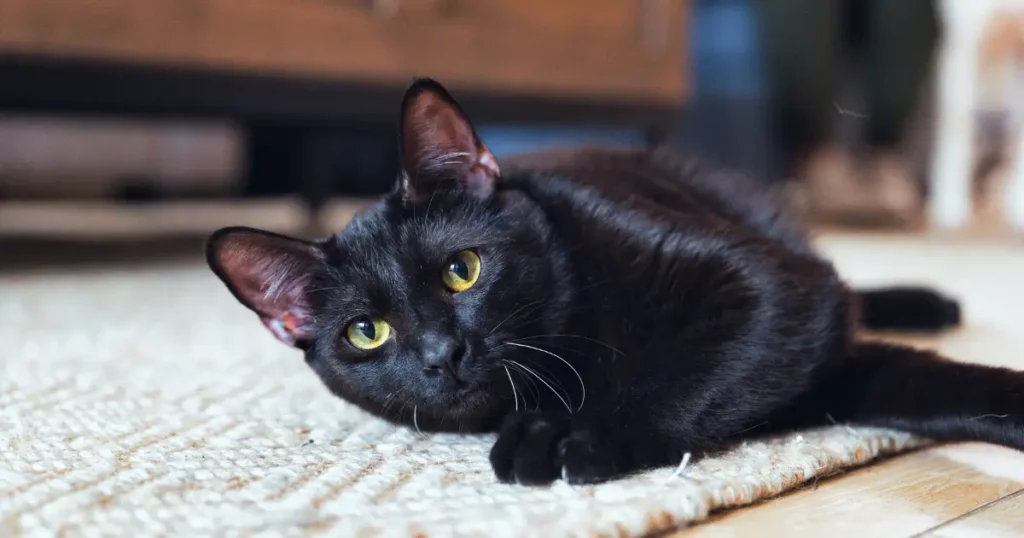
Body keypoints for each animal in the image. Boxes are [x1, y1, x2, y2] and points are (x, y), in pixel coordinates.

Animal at [207, 77, 1024, 483]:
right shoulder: (825, 357)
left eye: (462, 271)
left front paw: (582, 435)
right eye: (367, 332)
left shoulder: (775, 291)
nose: (443, 353)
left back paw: (930, 299)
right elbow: (931, 386)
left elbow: (697, 374)